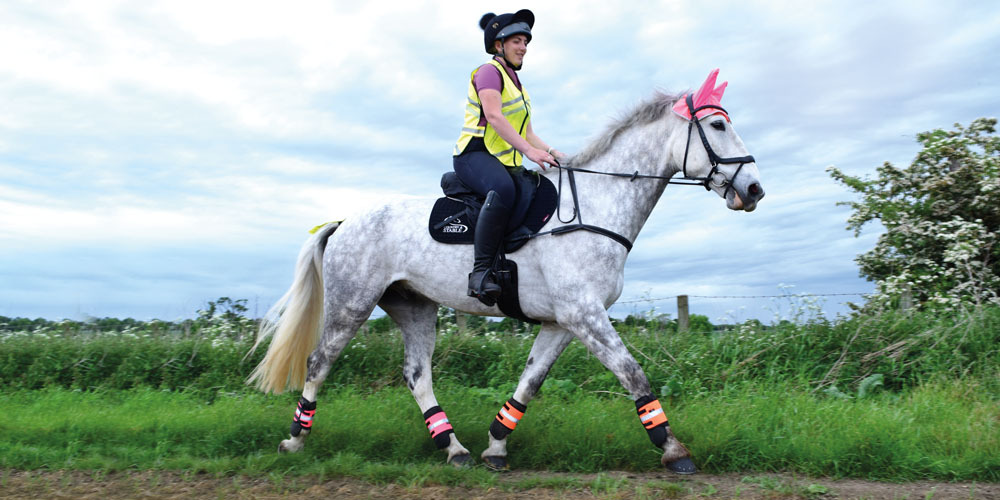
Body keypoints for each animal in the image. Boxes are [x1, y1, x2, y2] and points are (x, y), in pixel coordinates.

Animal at [250, 69, 764, 472]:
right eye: (718, 124)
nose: (754, 189)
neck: (594, 206)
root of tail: (343, 221)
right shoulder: (584, 315)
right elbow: (632, 373)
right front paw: (673, 449)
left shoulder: (563, 322)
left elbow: (530, 383)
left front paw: (496, 446)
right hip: (351, 303)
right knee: (320, 363)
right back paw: (294, 439)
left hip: (415, 307)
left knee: (417, 374)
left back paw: (453, 447)